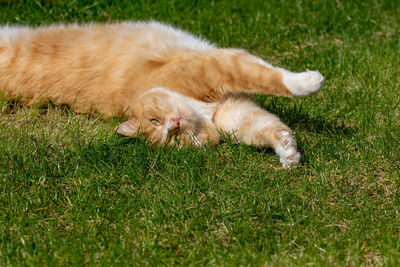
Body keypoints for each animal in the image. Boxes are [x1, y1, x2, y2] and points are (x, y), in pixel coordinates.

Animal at [0, 21, 324, 168]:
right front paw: (287, 151)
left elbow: (268, 78)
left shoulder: (215, 68)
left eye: (155, 121)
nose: (175, 124)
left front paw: (309, 81)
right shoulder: (232, 108)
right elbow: (263, 126)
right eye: (172, 140)